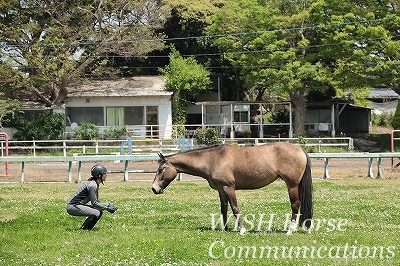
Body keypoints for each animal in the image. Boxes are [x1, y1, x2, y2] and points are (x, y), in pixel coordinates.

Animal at [152, 142, 312, 234]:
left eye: (161, 169)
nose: (154, 188)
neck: (212, 160)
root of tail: (300, 149)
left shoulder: (229, 188)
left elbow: (235, 209)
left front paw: (242, 230)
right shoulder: (221, 191)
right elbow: (224, 210)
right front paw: (225, 229)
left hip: (292, 185)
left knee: (295, 205)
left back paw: (290, 230)